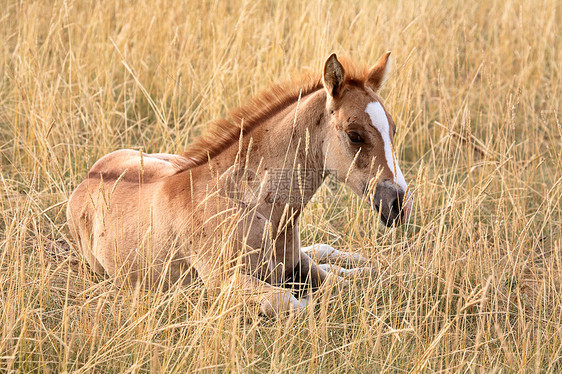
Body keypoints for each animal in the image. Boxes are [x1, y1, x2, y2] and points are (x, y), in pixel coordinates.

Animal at [68, 52, 414, 316]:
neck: (257, 206)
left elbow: (340, 285)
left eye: (393, 129)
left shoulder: (297, 265)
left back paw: (358, 262)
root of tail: (89, 176)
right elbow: (296, 302)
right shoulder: (225, 283)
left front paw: (361, 272)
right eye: (355, 135)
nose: (398, 204)